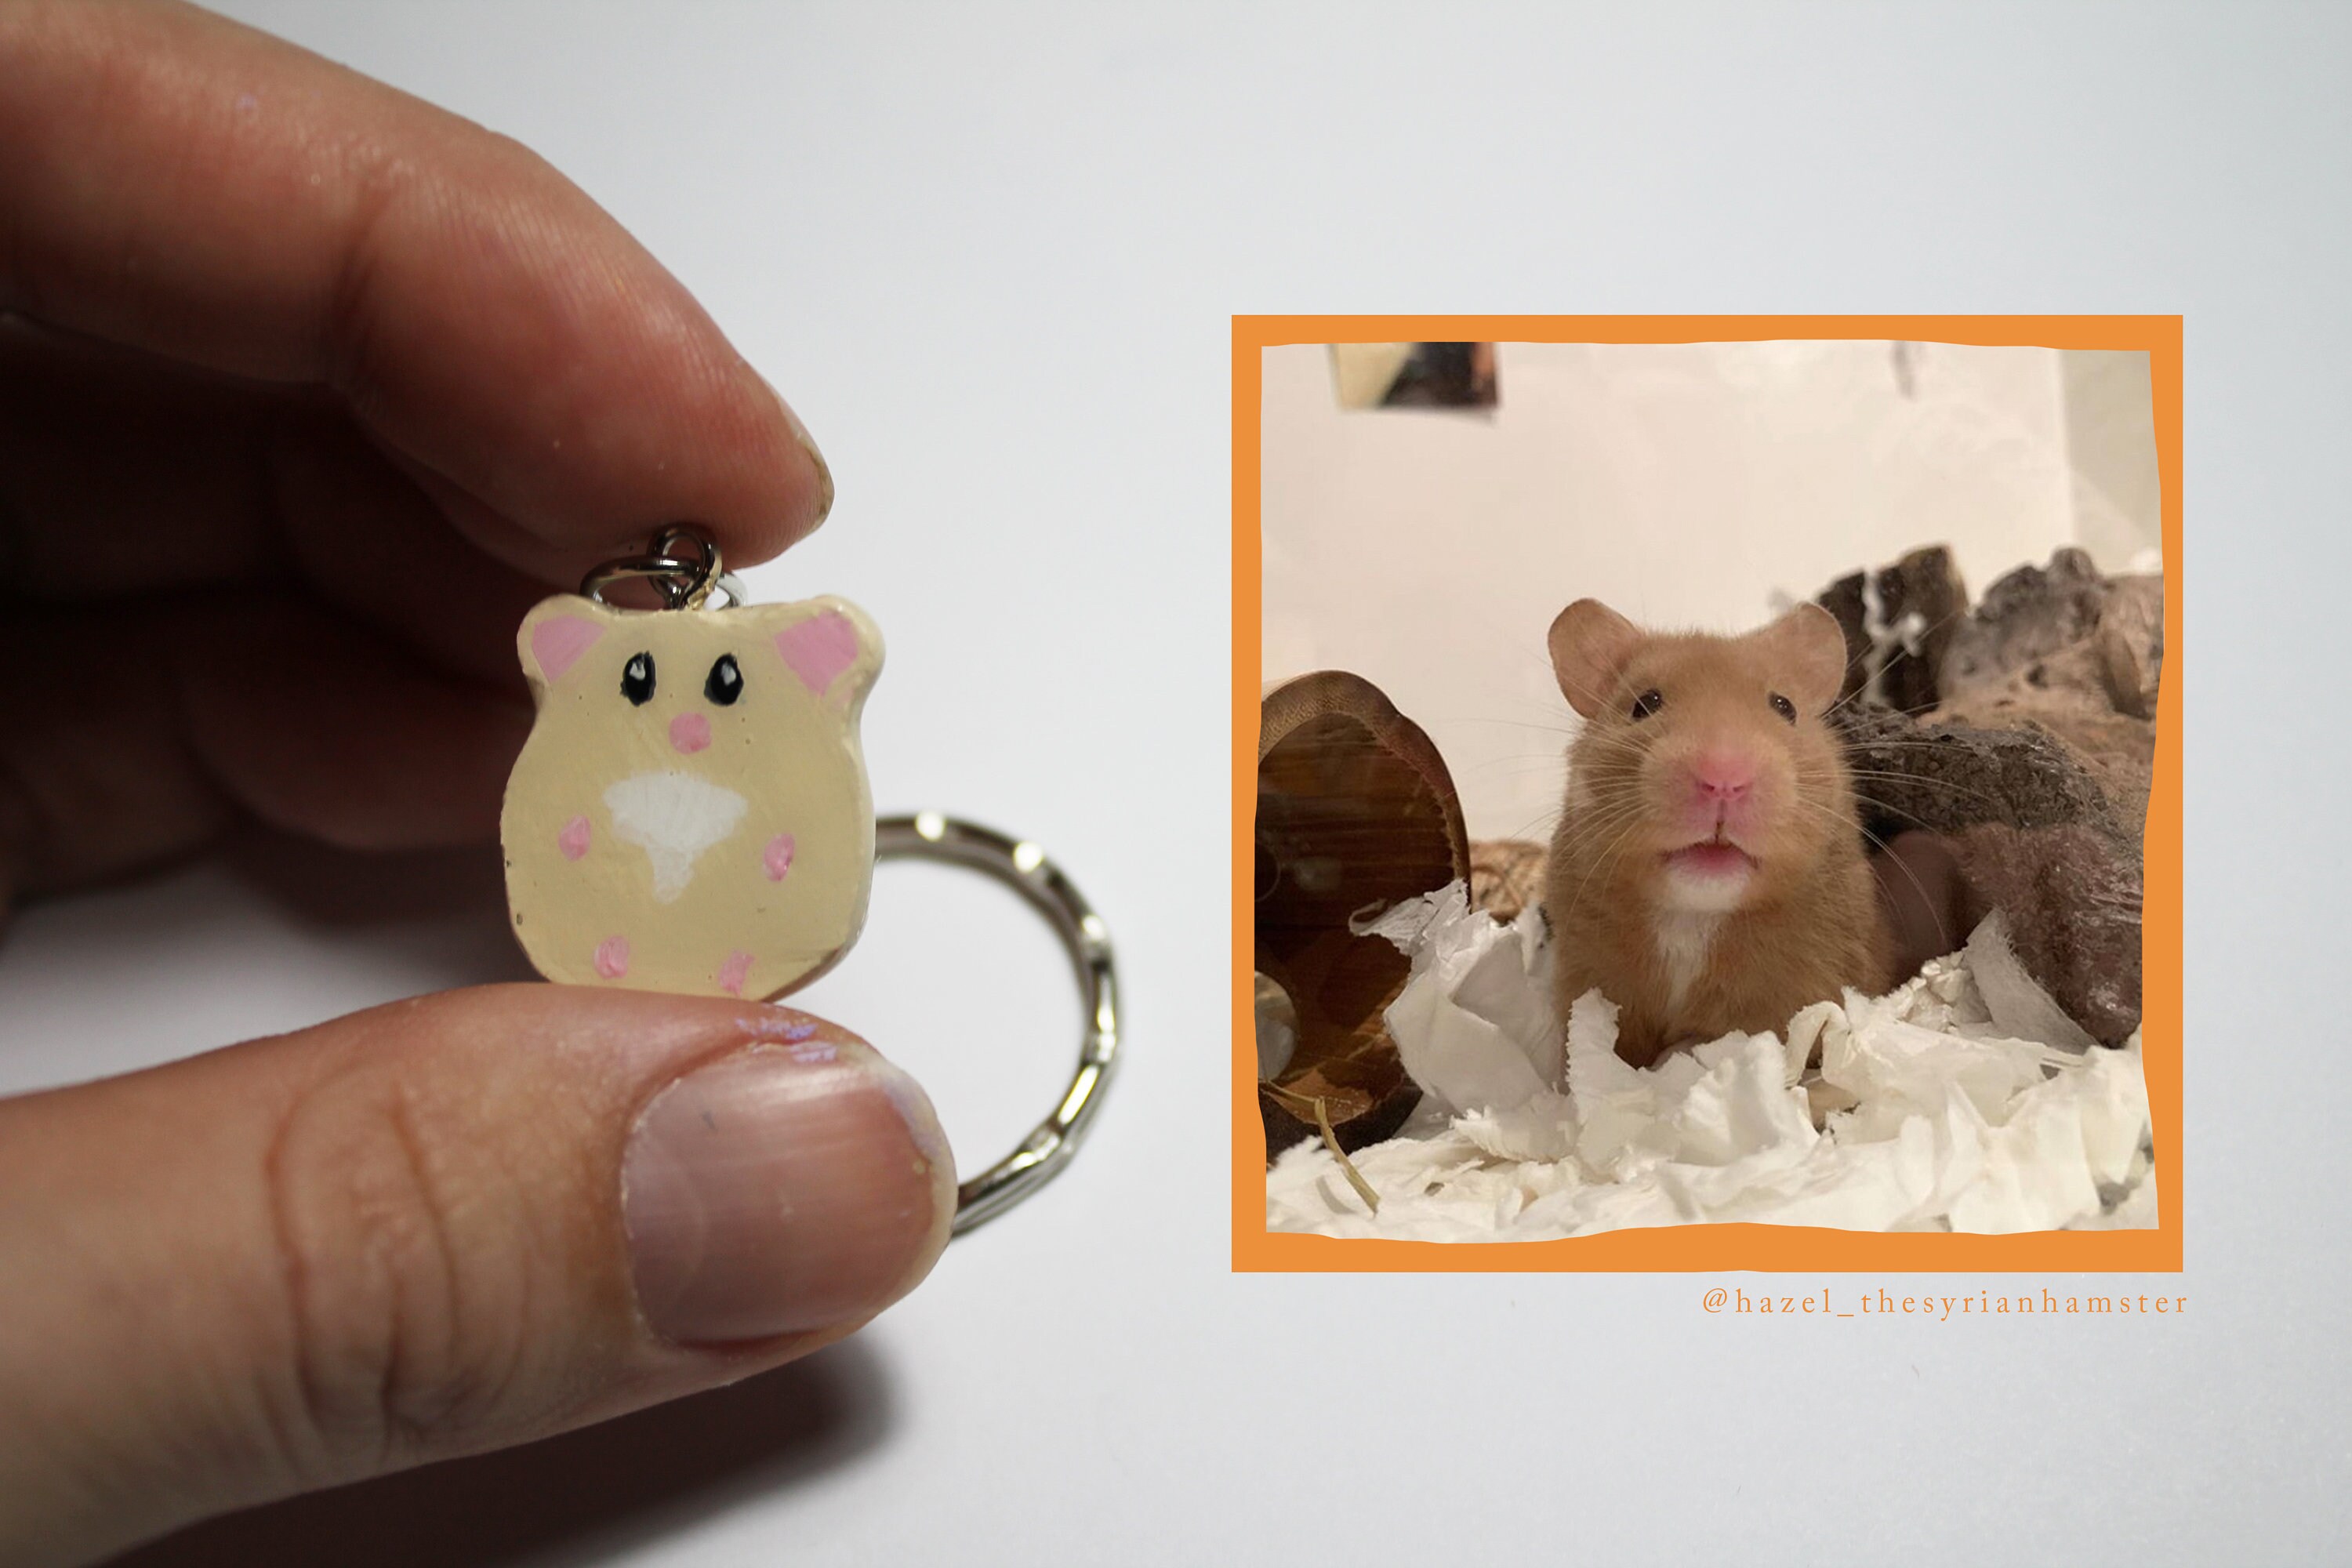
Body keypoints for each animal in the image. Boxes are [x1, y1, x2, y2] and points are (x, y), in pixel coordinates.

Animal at [501, 593, 882, 1000]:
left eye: (728, 681)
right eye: (636, 678)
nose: (684, 729)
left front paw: (779, 855)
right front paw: (577, 836)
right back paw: (613, 959)